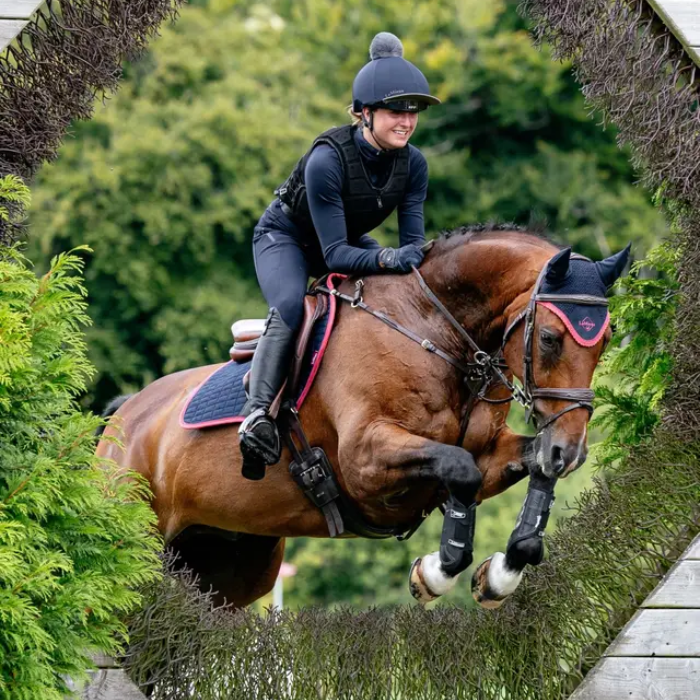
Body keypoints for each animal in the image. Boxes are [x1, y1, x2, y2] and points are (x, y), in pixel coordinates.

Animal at [96, 226, 629, 609]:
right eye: (550, 339)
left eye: (604, 341)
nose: (570, 450)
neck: (434, 332)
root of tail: (124, 417)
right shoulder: (365, 464)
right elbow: (460, 469)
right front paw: (432, 574)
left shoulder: (490, 453)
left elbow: (521, 469)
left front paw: (500, 574)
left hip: (232, 563)